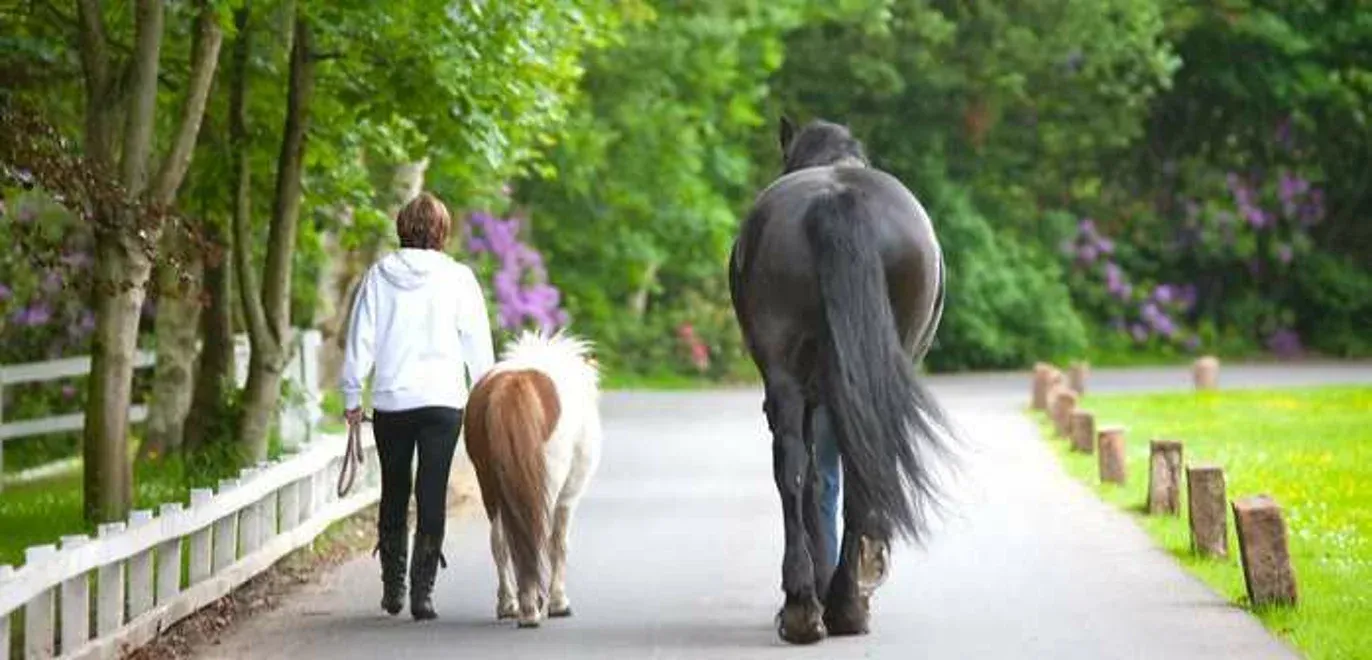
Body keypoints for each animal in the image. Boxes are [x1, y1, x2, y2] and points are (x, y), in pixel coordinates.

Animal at [464, 330, 602, 629]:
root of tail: (512, 385)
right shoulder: (567, 498)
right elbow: (558, 544)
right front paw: (559, 603)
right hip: (547, 483)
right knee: (536, 534)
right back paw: (531, 608)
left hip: (489, 484)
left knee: (500, 541)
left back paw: (509, 604)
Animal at [728, 117, 956, 644]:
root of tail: (837, 199)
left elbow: (813, 478)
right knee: (855, 470)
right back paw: (842, 604)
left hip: (788, 380)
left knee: (793, 468)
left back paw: (806, 606)